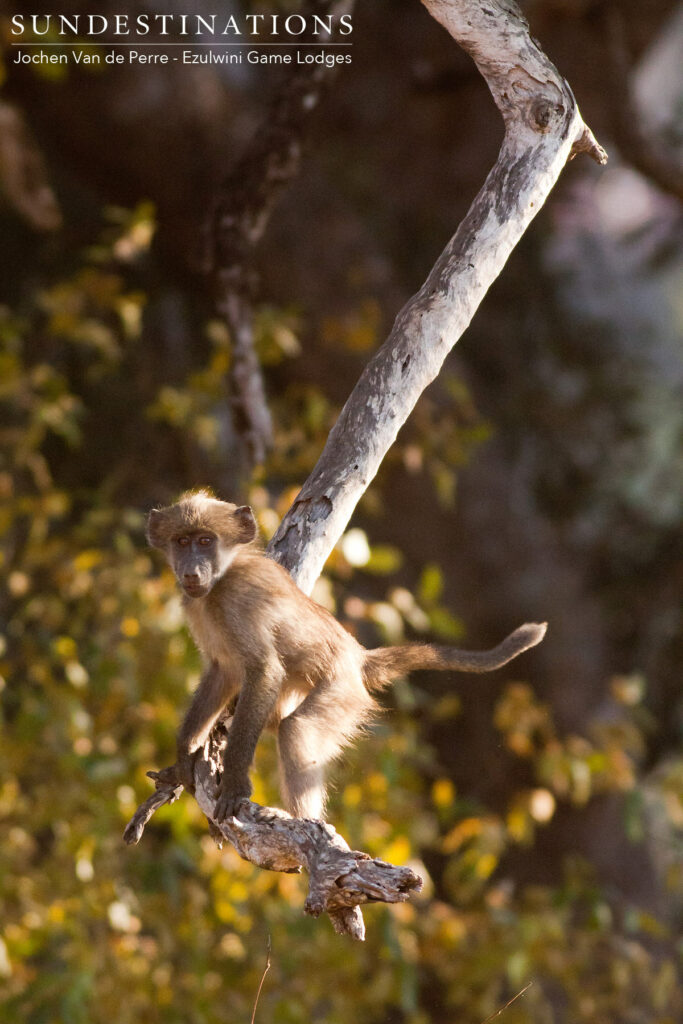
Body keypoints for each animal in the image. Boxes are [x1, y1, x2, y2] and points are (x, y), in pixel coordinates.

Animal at [146, 490, 547, 822]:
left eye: (205, 541)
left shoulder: (237, 600)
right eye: (182, 542)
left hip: (342, 690)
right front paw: (183, 757)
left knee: (296, 728)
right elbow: (224, 672)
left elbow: (263, 670)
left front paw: (235, 784)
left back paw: (306, 825)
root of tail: (356, 656)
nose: (191, 572)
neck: (220, 580)